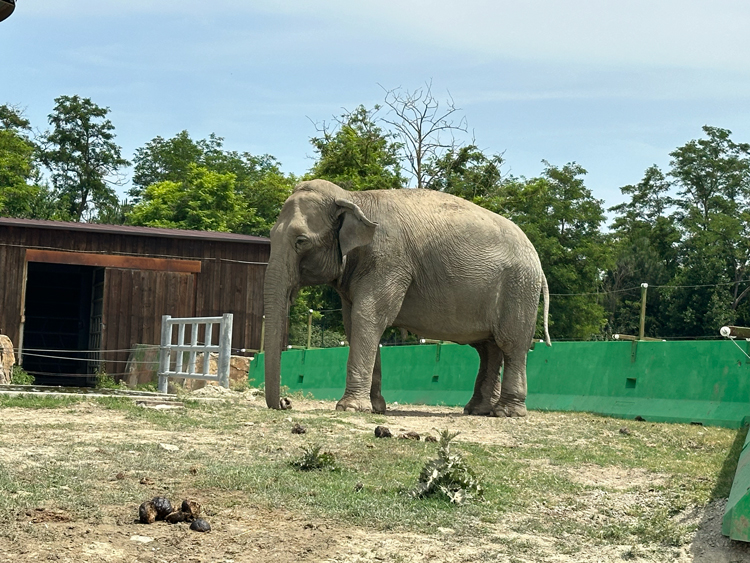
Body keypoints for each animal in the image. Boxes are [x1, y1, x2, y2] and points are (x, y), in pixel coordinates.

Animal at [264, 178, 552, 416]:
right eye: (269, 235)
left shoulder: (390, 260)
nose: (286, 403)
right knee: (488, 348)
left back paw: (507, 412)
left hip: (519, 287)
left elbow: (369, 316)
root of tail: (536, 259)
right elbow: (353, 322)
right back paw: (477, 410)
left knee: (512, 345)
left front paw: (349, 408)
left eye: (301, 241)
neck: (352, 198)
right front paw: (376, 408)